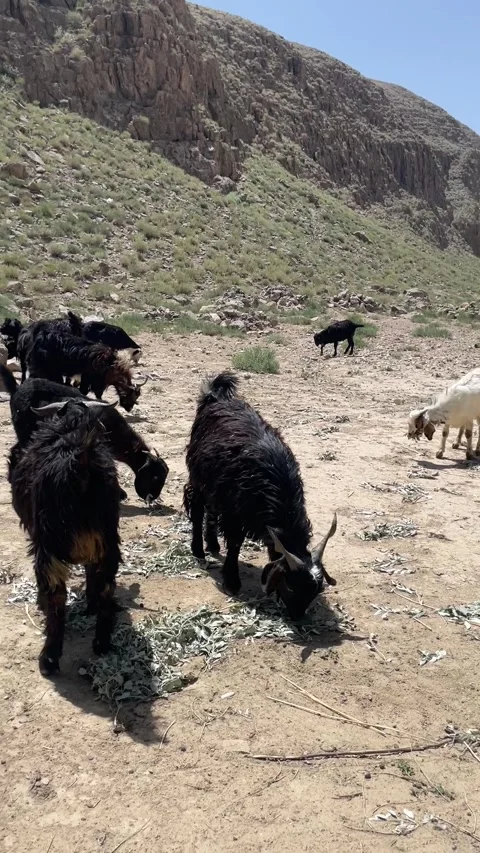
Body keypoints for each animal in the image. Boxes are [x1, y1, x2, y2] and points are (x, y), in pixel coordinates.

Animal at [8, 399, 122, 675]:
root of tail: (81, 463)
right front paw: (90, 604)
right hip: (108, 541)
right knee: (106, 586)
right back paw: (102, 642)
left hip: (48, 546)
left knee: (56, 596)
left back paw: (49, 658)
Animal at [184, 371, 337, 619]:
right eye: (291, 585)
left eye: (315, 591)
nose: (297, 617)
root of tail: (215, 398)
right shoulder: (235, 512)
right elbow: (235, 544)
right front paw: (232, 581)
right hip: (199, 478)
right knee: (197, 508)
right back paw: (198, 549)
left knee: (211, 510)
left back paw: (213, 544)